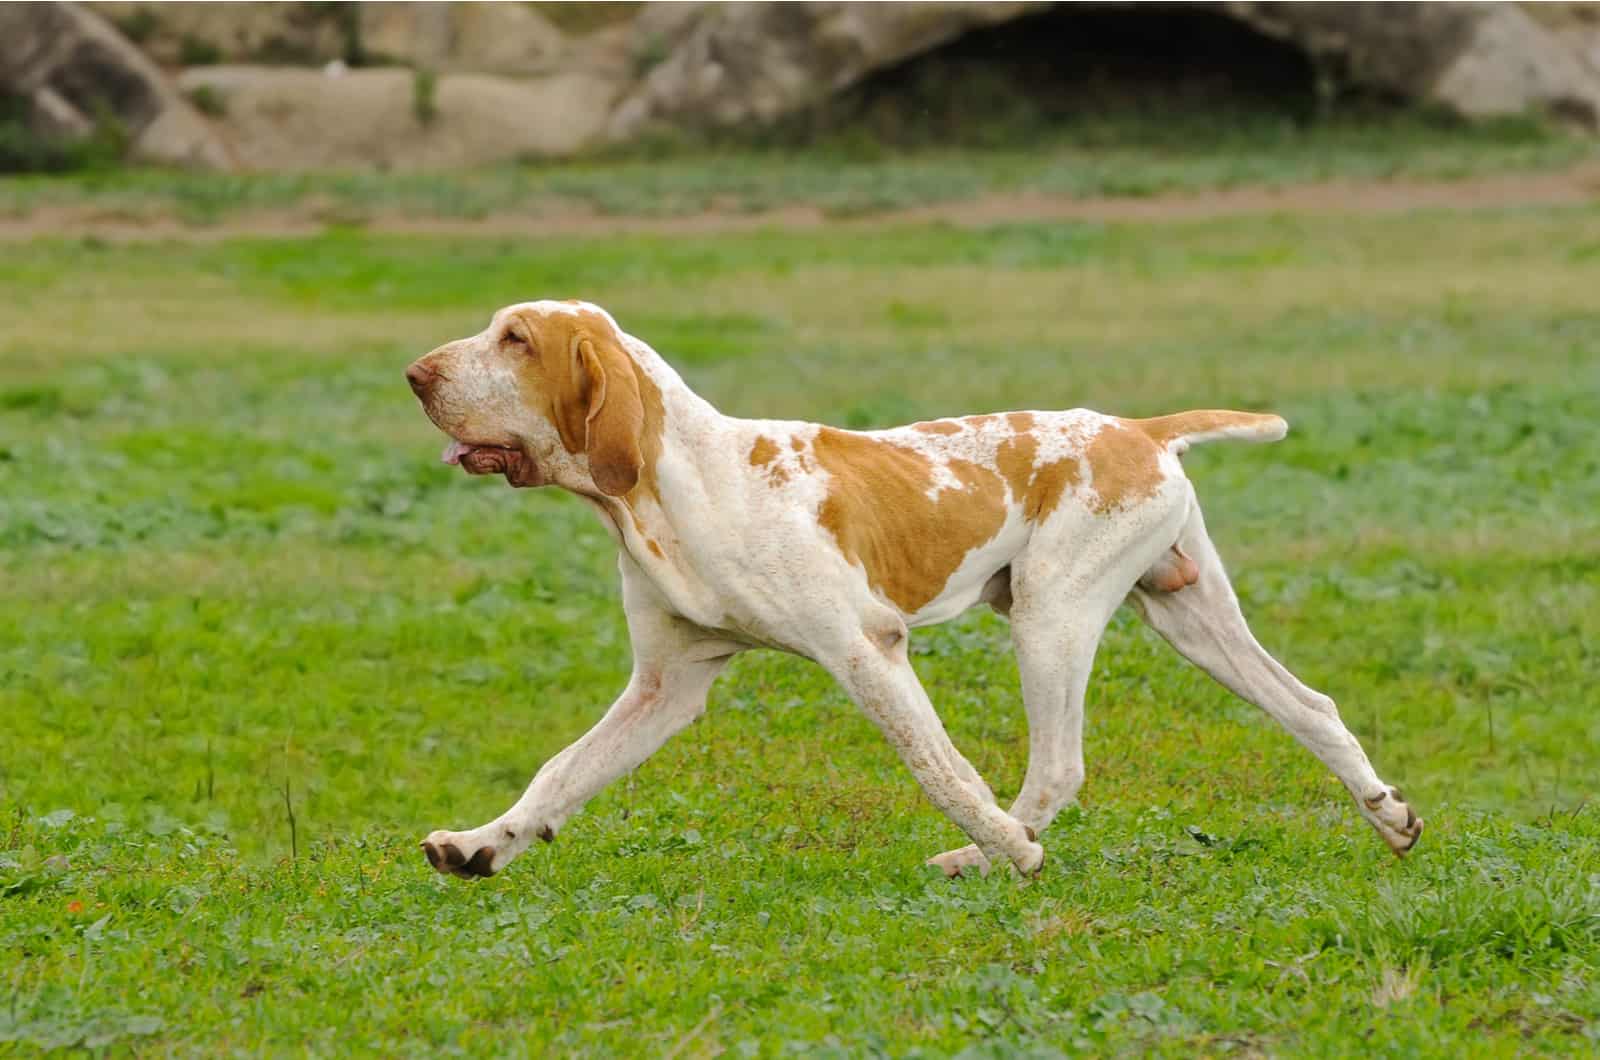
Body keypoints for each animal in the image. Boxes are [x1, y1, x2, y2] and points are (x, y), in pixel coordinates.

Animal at [403, 299, 1427, 877]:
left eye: (515, 339)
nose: (414, 374)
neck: (681, 482)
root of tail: (1139, 429)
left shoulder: (866, 652)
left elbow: (943, 770)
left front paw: (1010, 852)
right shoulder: (666, 686)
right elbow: (559, 773)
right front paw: (484, 846)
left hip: (1052, 616)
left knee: (1056, 765)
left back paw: (987, 854)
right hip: (1189, 618)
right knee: (1313, 707)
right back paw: (1388, 816)